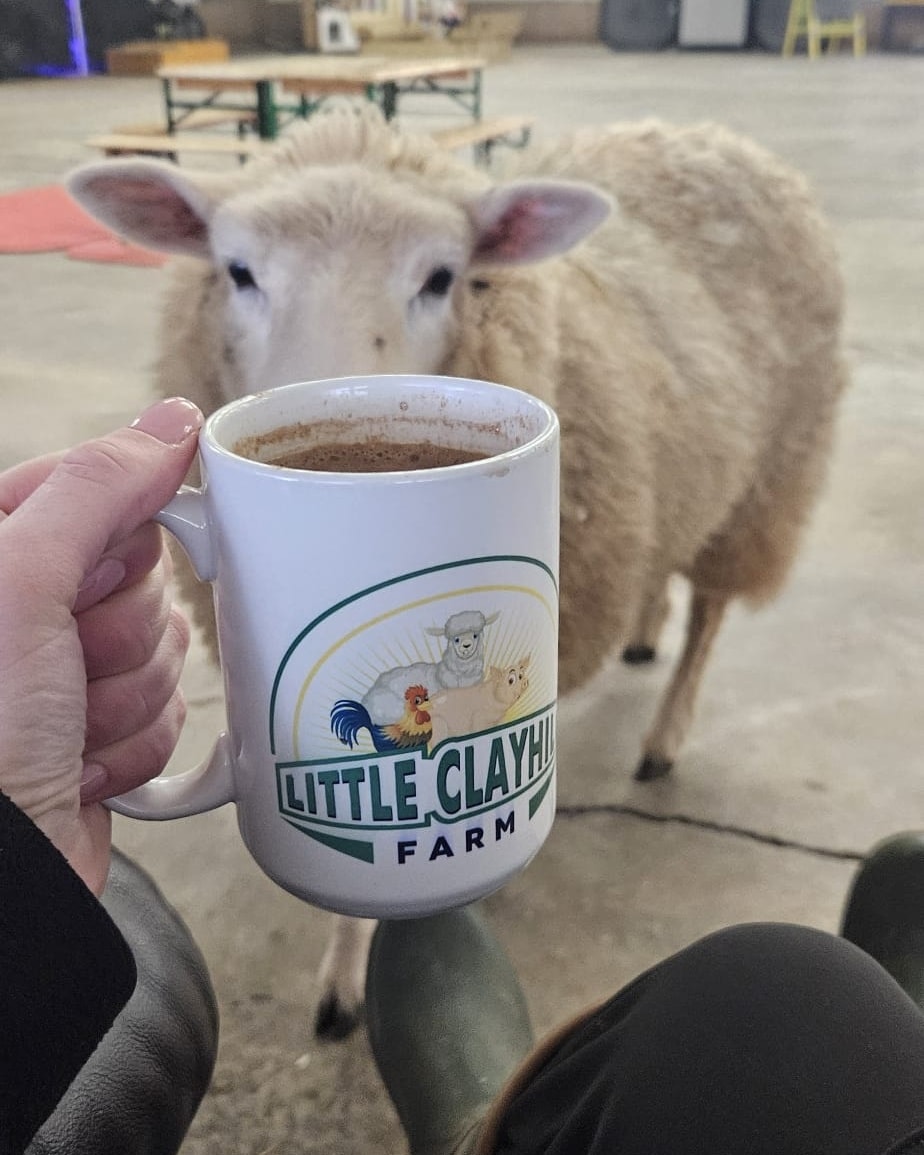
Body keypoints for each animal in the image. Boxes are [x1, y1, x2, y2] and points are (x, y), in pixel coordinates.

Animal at [67, 103, 849, 1039]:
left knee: (709, 616)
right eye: (239, 270)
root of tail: (699, 132)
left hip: (768, 477)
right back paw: (643, 627)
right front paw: (348, 953)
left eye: (444, 276)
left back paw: (664, 733)